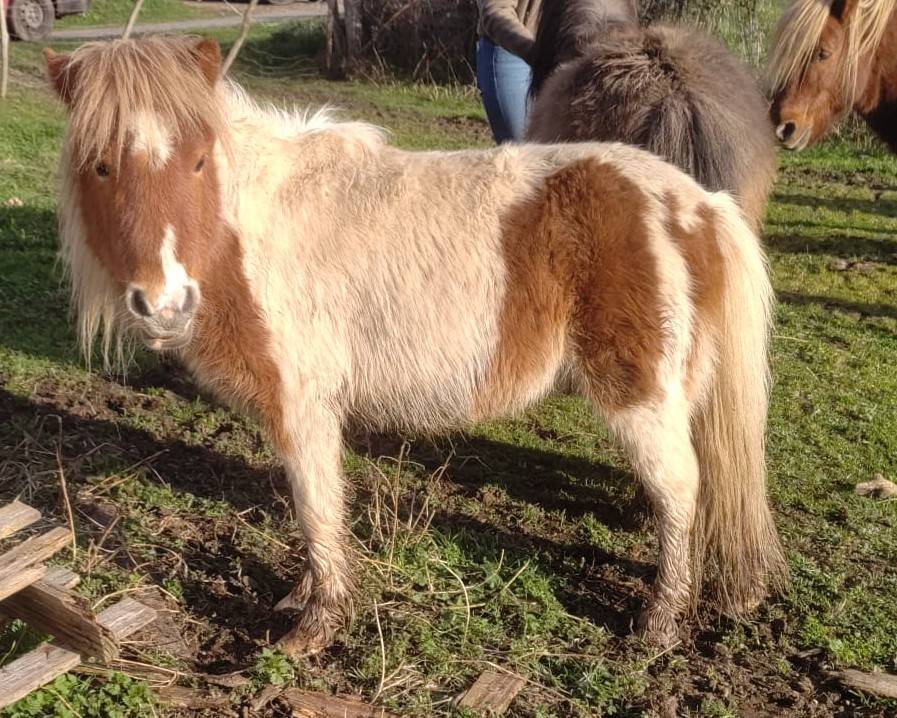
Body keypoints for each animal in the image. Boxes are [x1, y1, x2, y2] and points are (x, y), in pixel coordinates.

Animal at [44, 36, 786, 654]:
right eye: (101, 167)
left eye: (199, 161)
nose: (165, 302)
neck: (247, 232)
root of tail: (699, 203)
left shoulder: (303, 408)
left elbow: (316, 508)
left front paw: (314, 627)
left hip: (641, 397)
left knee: (681, 490)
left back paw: (658, 624)